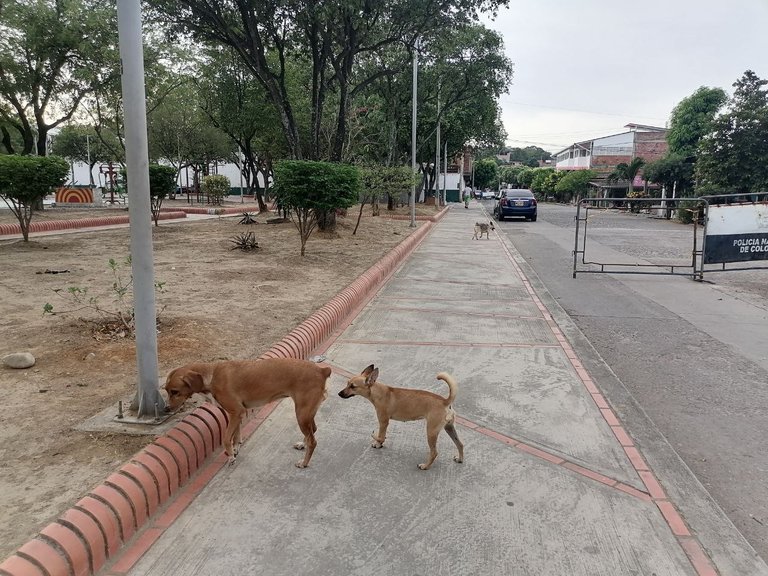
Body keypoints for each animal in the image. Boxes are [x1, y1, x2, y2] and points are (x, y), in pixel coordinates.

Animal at [164, 358, 332, 466]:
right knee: (313, 431)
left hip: (302, 414)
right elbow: (236, 436)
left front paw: (231, 457)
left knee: (313, 441)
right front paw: (236, 449)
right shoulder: (237, 415)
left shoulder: (236, 412)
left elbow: (226, 439)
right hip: (306, 413)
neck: (211, 376)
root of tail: (322, 370)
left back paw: (304, 463)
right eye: (166, 390)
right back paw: (302, 445)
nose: (166, 409)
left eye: (175, 391)